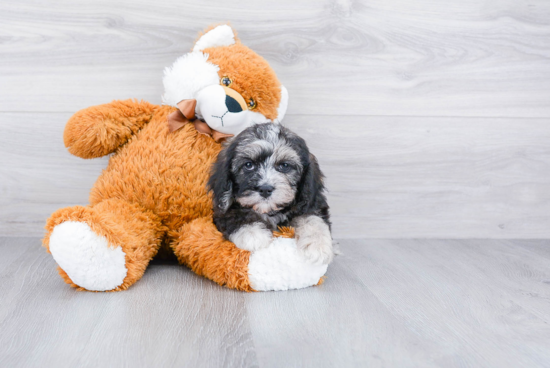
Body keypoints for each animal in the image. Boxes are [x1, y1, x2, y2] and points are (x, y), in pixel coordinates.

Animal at [208, 123, 334, 264]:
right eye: (248, 165)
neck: (269, 211)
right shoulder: (221, 208)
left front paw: (317, 245)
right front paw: (253, 233)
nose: (265, 189)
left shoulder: (311, 203)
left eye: (285, 165)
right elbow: (235, 214)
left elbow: (312, 218)